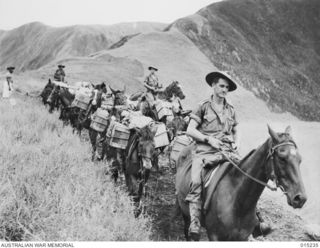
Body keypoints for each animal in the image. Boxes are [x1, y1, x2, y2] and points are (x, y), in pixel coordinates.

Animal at [176, 126, 306, 240]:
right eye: (282, 158)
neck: (238, 201)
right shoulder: (214, 236)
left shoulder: (242, 238)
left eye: (300, 160)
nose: (300, 198)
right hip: (186, 215)